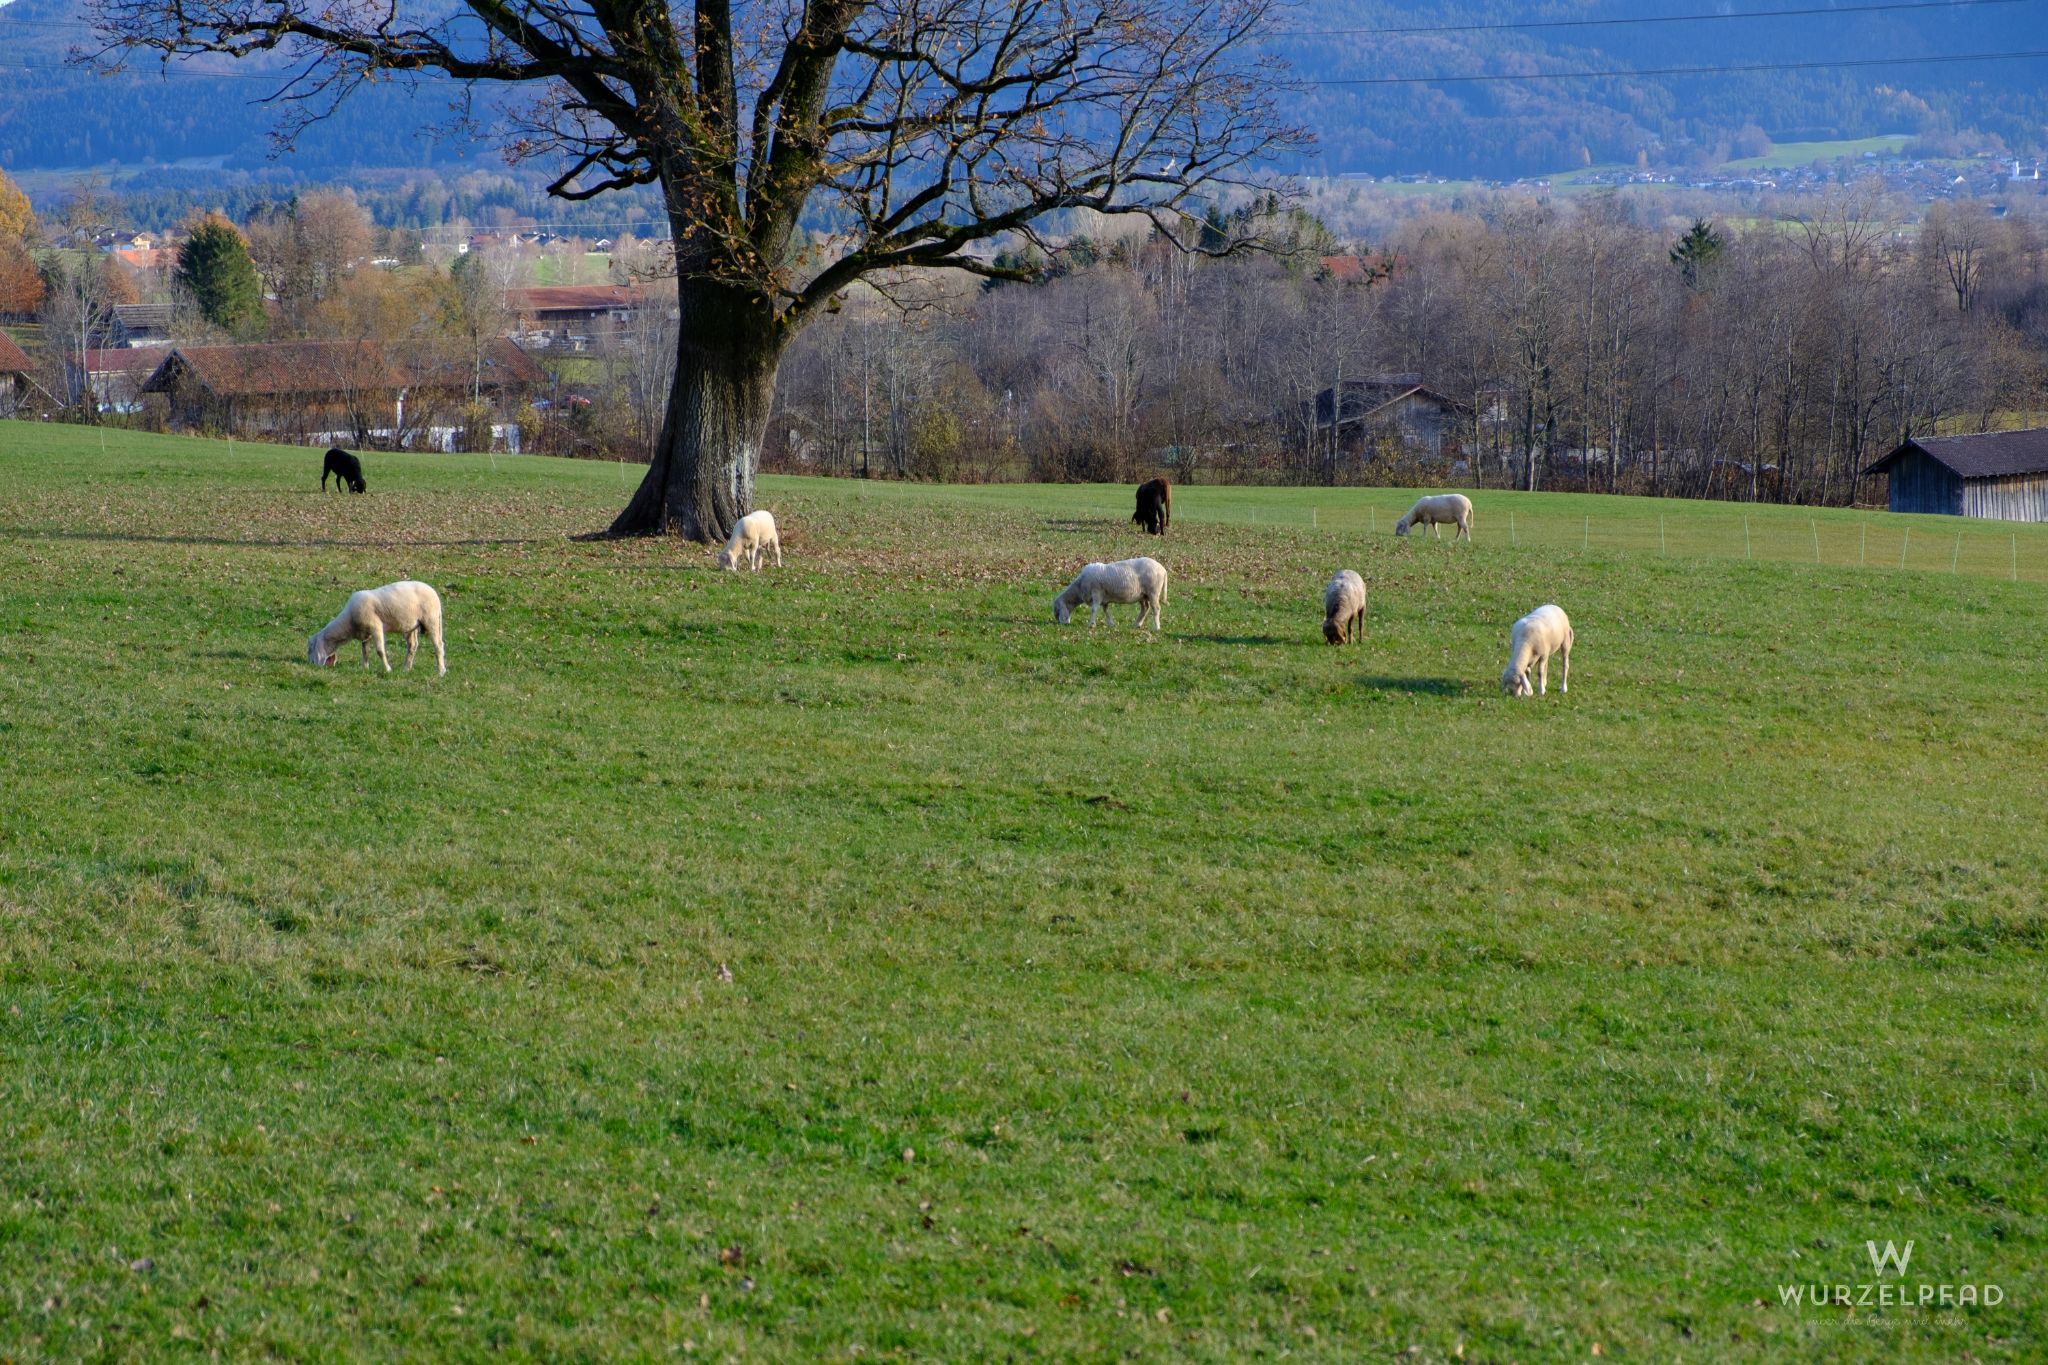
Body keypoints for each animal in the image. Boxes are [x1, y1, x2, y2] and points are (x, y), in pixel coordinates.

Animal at [306, 581, 445, 675]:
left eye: (310, 649)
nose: (311, 665)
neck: (348, 623)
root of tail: (434, 593)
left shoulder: (375, 626)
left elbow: (380, 651)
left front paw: (387, 669)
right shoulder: (366, 634)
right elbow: (365, 651)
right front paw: (365, 668)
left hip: (431, 619)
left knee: (438, 645)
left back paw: (441, 671)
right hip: (411, 625)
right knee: (412, 646)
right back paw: (406, 668)